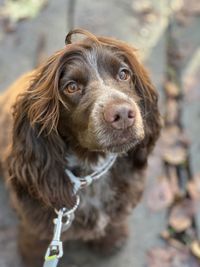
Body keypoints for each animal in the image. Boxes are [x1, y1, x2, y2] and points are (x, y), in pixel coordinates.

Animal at [0, 29, 161, 267]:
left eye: (124, 74)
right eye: (71, 87)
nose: (123, 114)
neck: (89, 172)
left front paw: (112, 239)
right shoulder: (36, 223)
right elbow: (34, 242)